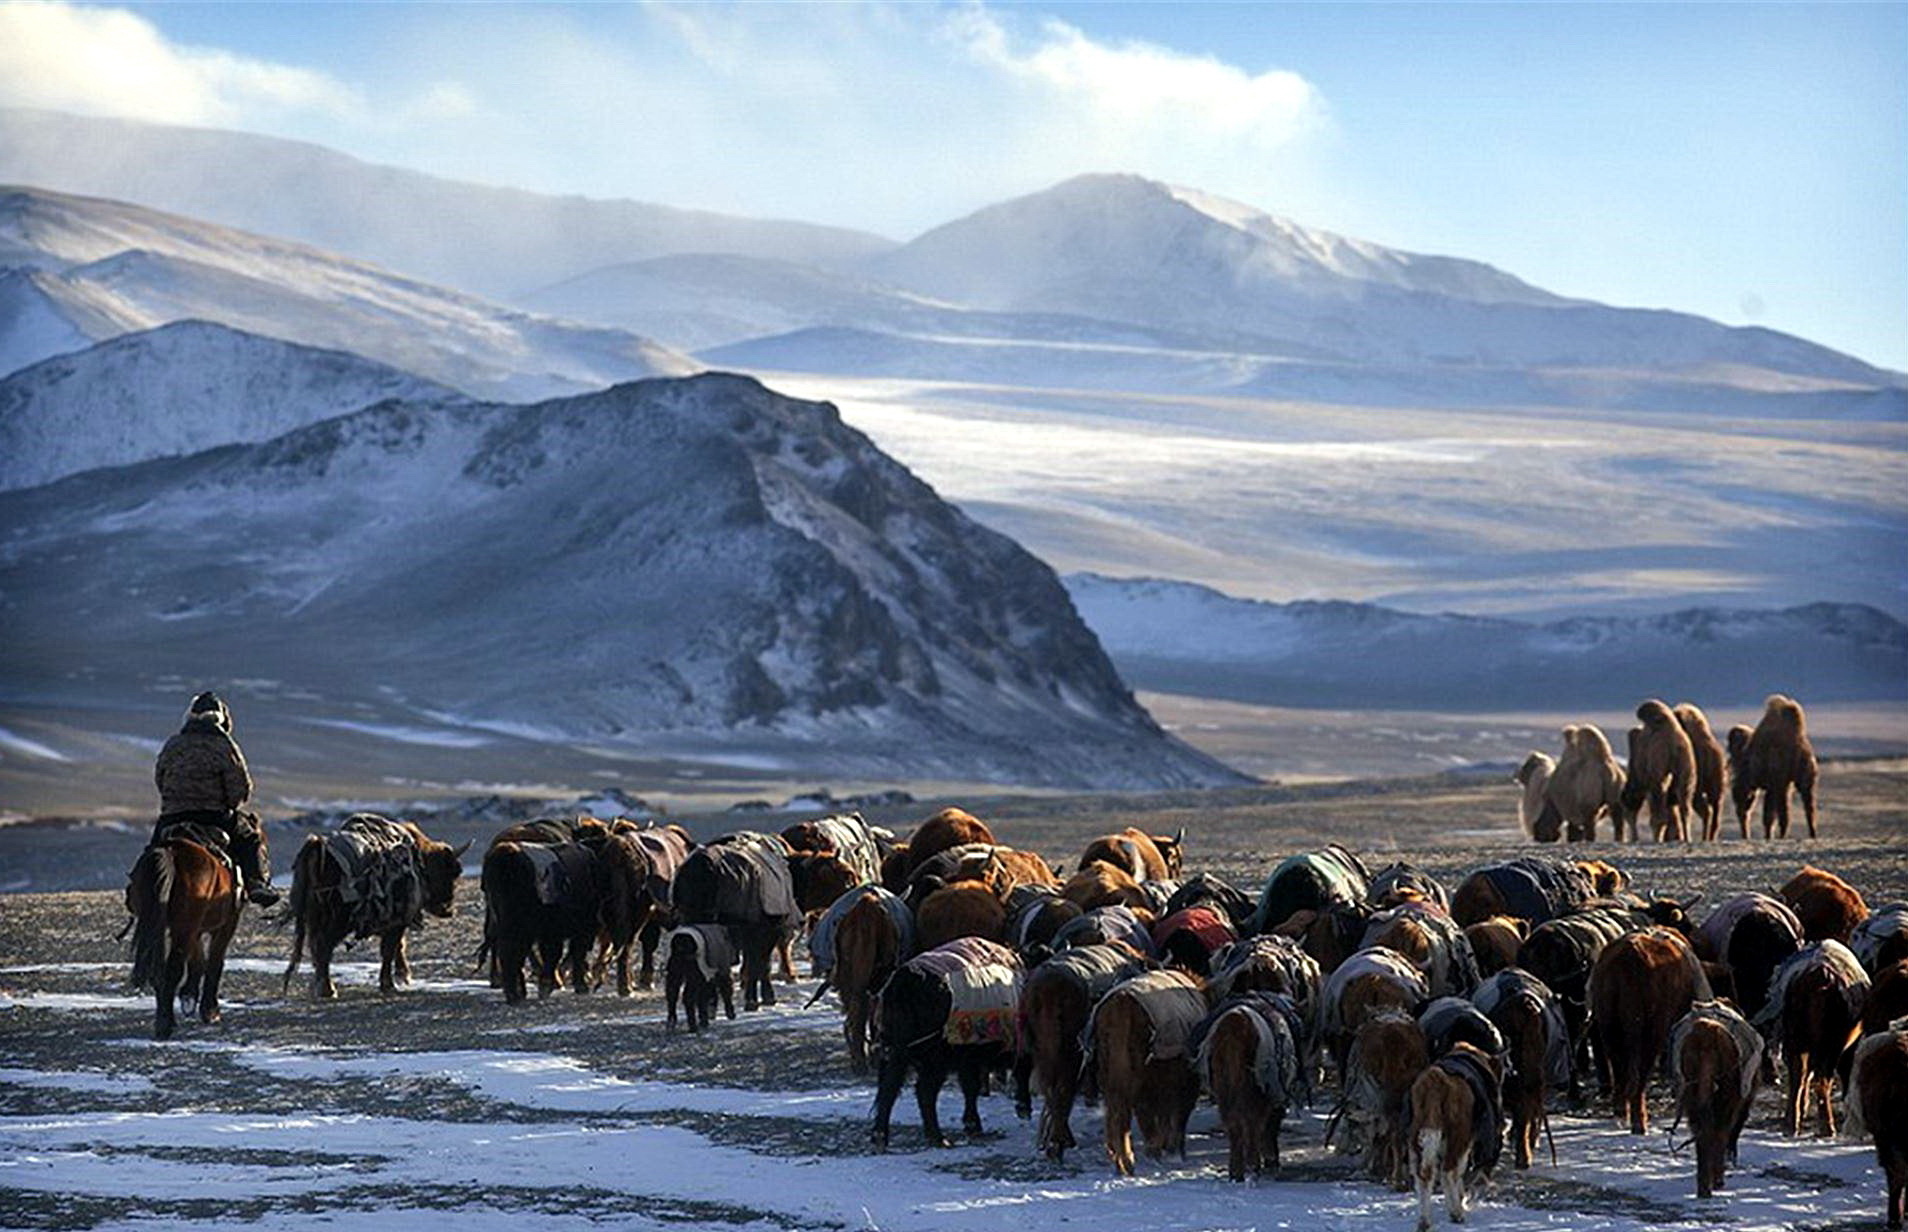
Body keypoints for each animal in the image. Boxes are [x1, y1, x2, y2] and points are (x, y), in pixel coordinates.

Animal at [127, 839, 240, 1045]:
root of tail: (171, 852)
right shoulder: (227, 923)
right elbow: (214, 962)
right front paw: (209, 1010)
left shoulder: (191, 930)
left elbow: (198, 960)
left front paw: (189, 996)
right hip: (185, 926)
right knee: (173, 970)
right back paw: (165, 1026)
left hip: (162, 925)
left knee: (159, 970)